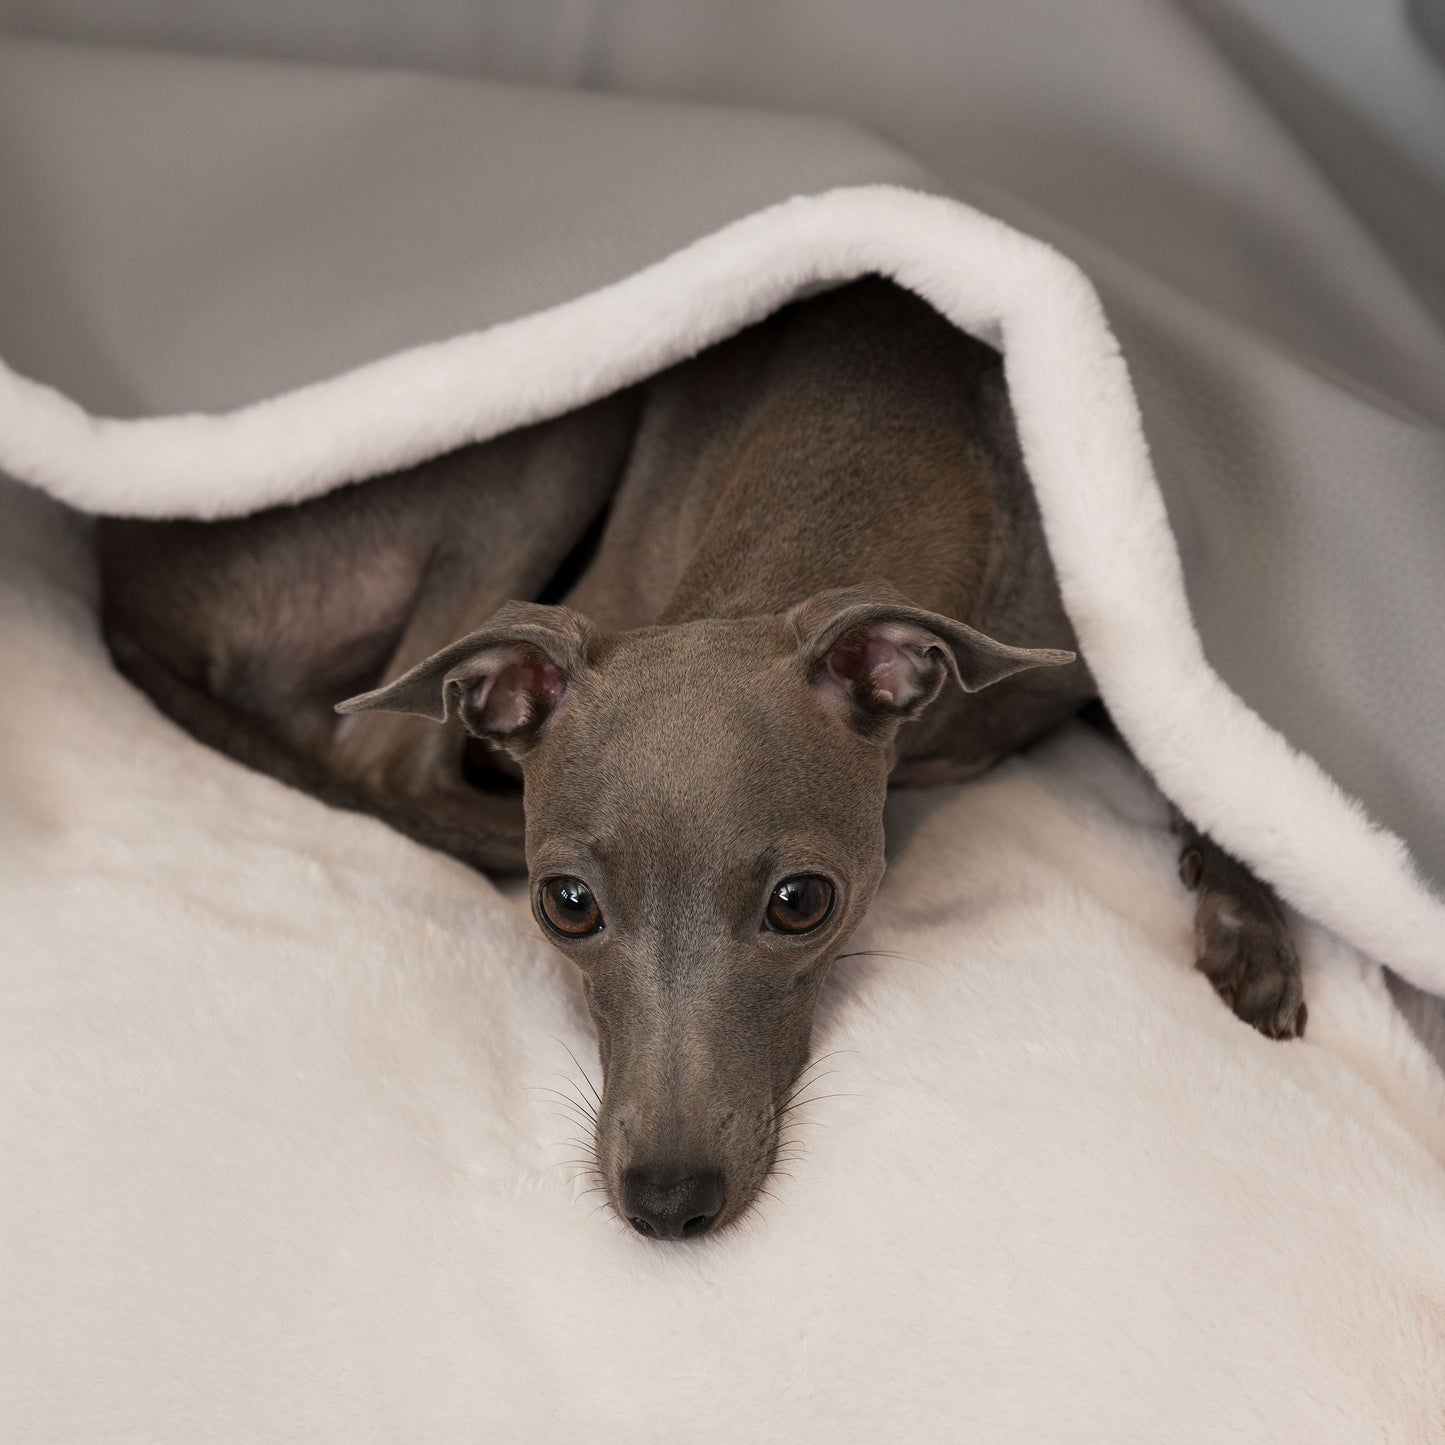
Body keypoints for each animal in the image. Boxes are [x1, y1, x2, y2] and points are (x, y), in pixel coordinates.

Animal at [96, 281, 1306, 1242]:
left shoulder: (1113, 639)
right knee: (382, 752)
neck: (868, 427)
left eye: (801, 902)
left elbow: (1202, 747)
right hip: (553, 423)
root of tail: (122, 585)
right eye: (567, 904)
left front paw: (1248, 913)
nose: (668, 1201)